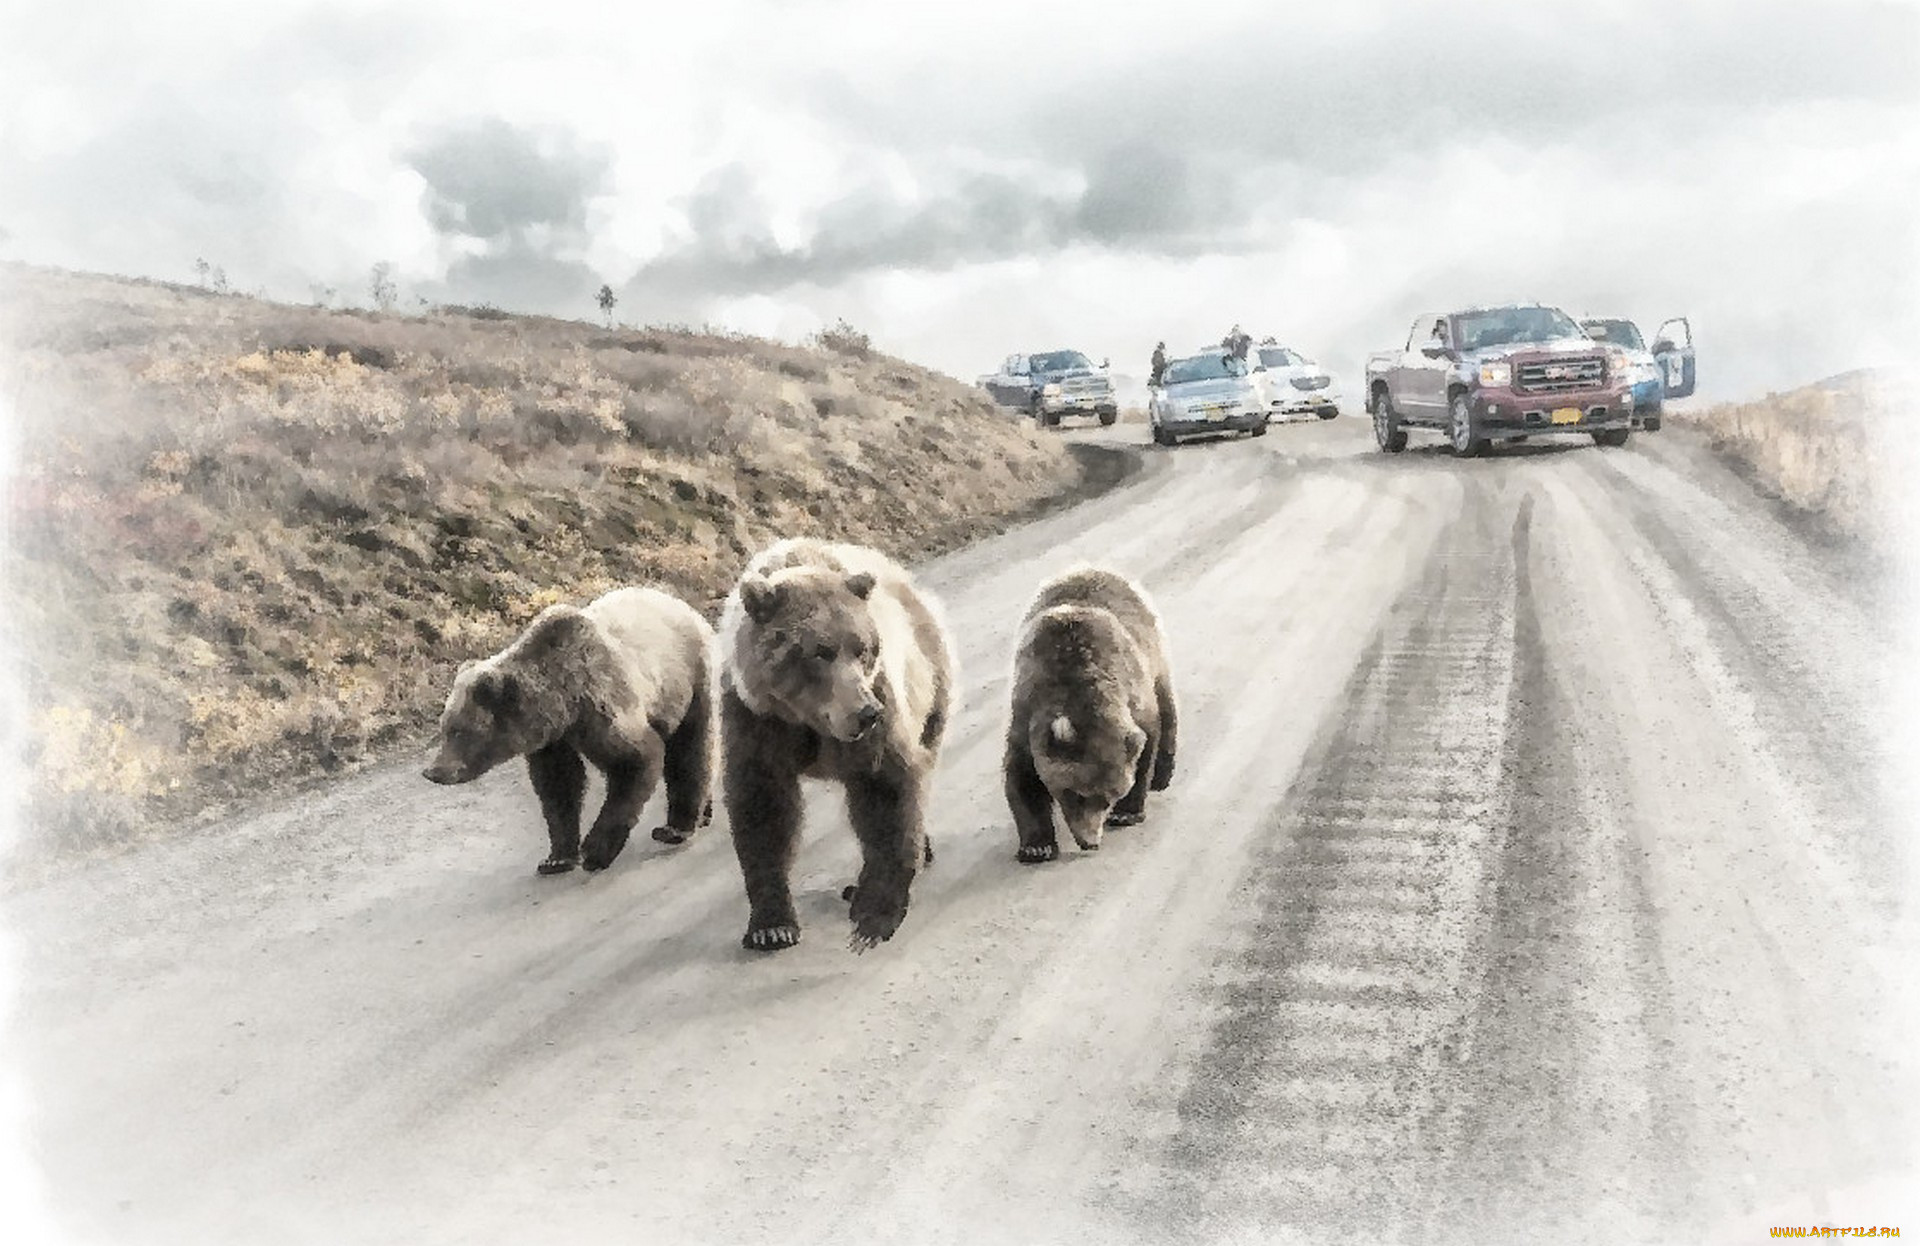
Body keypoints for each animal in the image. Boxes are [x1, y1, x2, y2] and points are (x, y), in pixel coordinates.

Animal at [424, 587, 718, 871]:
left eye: (460, 731)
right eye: (443, 728)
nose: (434, 772)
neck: (564, 704)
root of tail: (692, 611)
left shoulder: (603, 706)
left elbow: (635, 758)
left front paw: (595, 850)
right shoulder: (552, 739)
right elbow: (559, 786)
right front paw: (556, 858)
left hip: (691, 682)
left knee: (690, 749)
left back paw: (676, 827)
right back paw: (703, 814)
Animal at [718, 533, 956, 952]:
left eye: (862, 648)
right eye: (820, 651)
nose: (866, 711)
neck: (808, 721)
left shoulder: (881, 713)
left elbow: (885, 793)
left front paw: (873, 915)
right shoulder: (756, 721)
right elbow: (762, 808)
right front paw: (771, 926)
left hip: (930, 684)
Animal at [998, 568, 1175, 860]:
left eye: (1109, 797)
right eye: (1076, 794)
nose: (1090, 842)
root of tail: (1093, 569)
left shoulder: (1135, 699)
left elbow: (1145, 744)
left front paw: (1127, 813)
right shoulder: (1026, 711)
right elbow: (1022, 776)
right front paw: (1037, 846)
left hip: (1153, 652)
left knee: (1167, 704)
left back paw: (1162, 775)